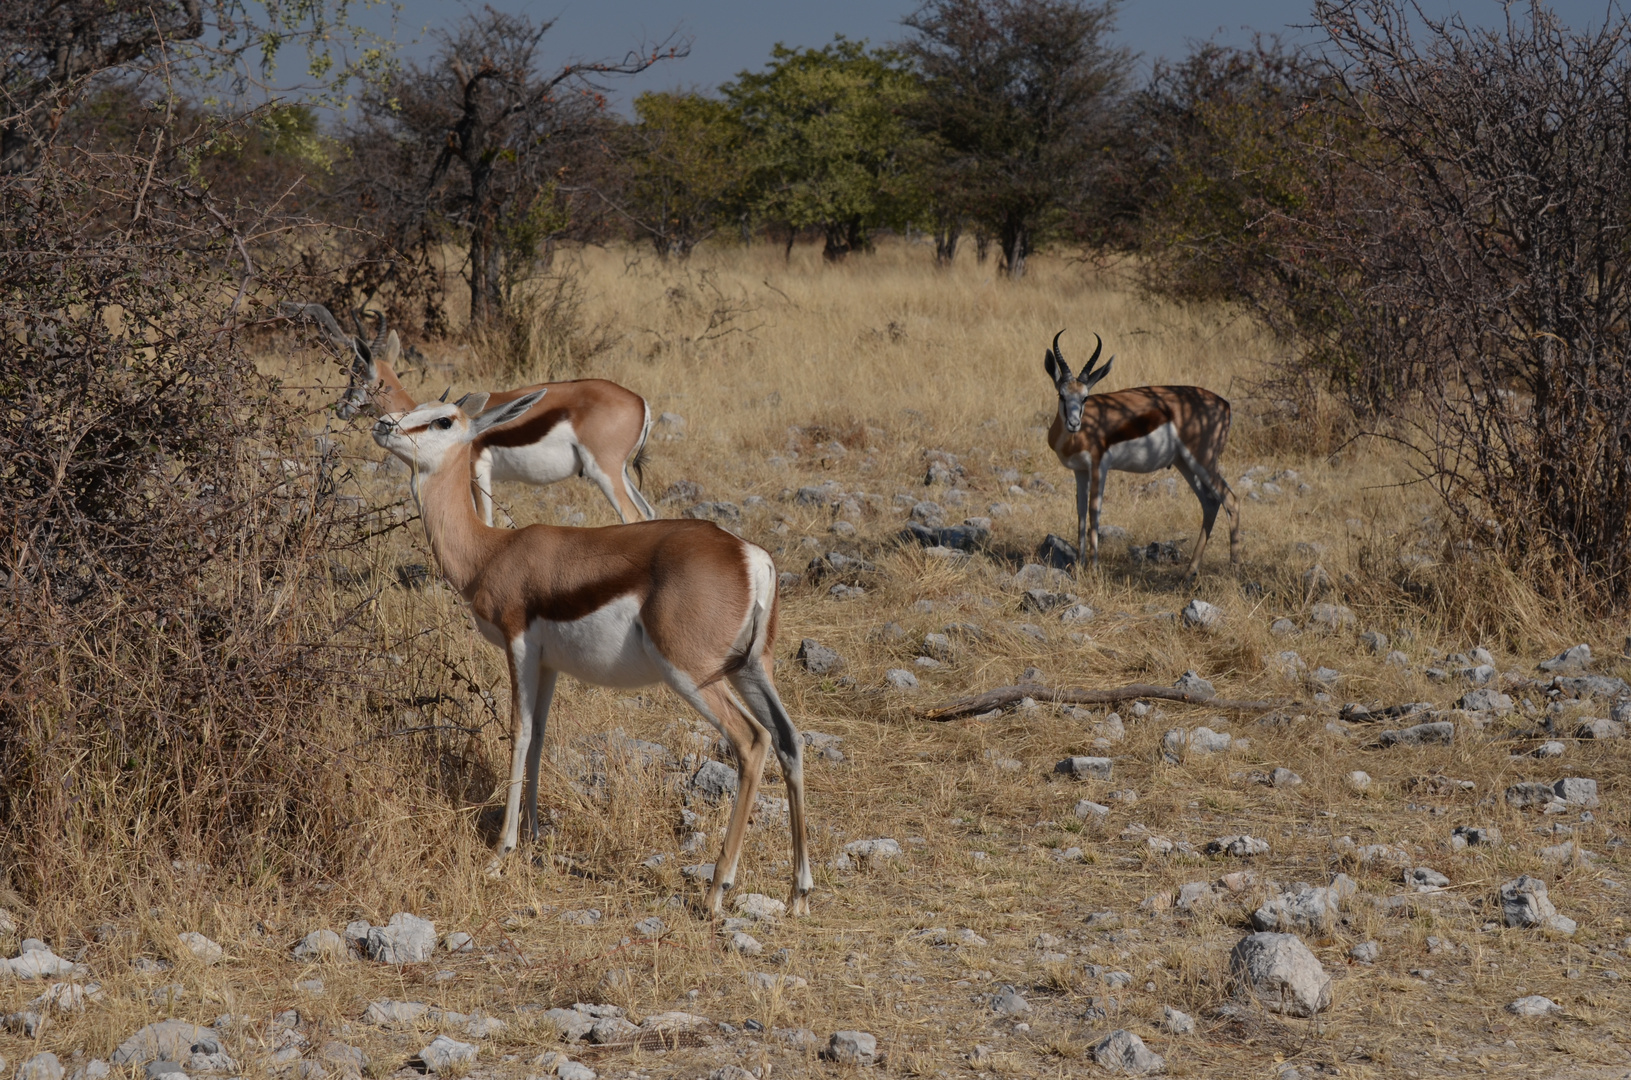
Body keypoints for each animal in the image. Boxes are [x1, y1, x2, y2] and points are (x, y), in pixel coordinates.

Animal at [287, 305, 655, 528]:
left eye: (354, 376)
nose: (341, 407)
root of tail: (641, 402)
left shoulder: (478, 470)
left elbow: (485, 521)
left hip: (603, 471)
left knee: (633, 516)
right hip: (620, 472)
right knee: (649, 512)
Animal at [373, 393, 812, 920]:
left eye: (442, 420)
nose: (381, 424)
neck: (490, 553)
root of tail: (751, 557)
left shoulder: (520, 647)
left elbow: (519, 734)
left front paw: (501, 853)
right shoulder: (549, 664)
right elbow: (540, 737)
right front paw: (533, 838)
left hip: (692, 673)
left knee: (751, 740)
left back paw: (716, 891)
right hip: (750, 668)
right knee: (789, 739)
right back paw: (798, 892)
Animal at [1043, 332, 1233, 580]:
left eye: (1085, 397)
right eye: (1061, 394)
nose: (1074, 423)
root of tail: (1225, 404)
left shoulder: (1099, 466)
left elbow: (1095, 511)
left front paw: (1093, 569)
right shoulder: (1080, 471)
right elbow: (1081, 513)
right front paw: (1079, 565)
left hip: (1203, 461)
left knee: (1231, 499)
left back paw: (1235, 568)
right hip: (1186, 464)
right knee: (1210, 503)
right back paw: (1189, 573)